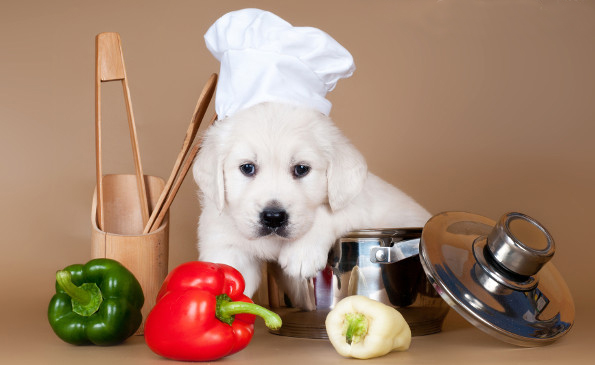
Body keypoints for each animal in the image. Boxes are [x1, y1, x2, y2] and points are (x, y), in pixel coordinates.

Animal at [193, 101, 430, 306]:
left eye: (301, 169)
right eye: (247, 168)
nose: (273, 217)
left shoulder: (355, 204)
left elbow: (326, 214)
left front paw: (300, 253)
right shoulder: (225, 243)